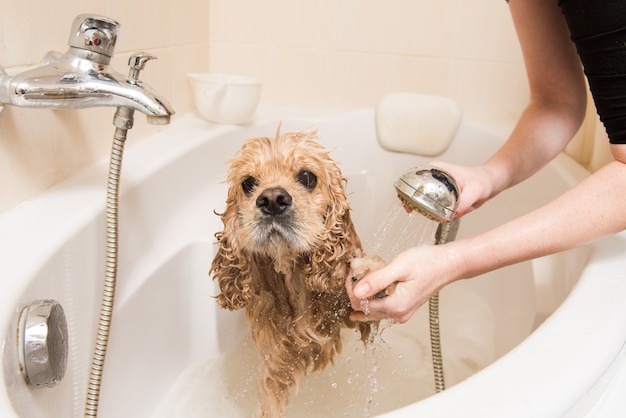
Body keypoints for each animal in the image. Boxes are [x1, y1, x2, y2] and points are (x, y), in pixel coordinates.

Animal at [210, 127, 382, 418]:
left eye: (307, 177)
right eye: (248, 183)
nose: (272, 200)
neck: (293, 279)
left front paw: (370, 271)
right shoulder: (276, 365)